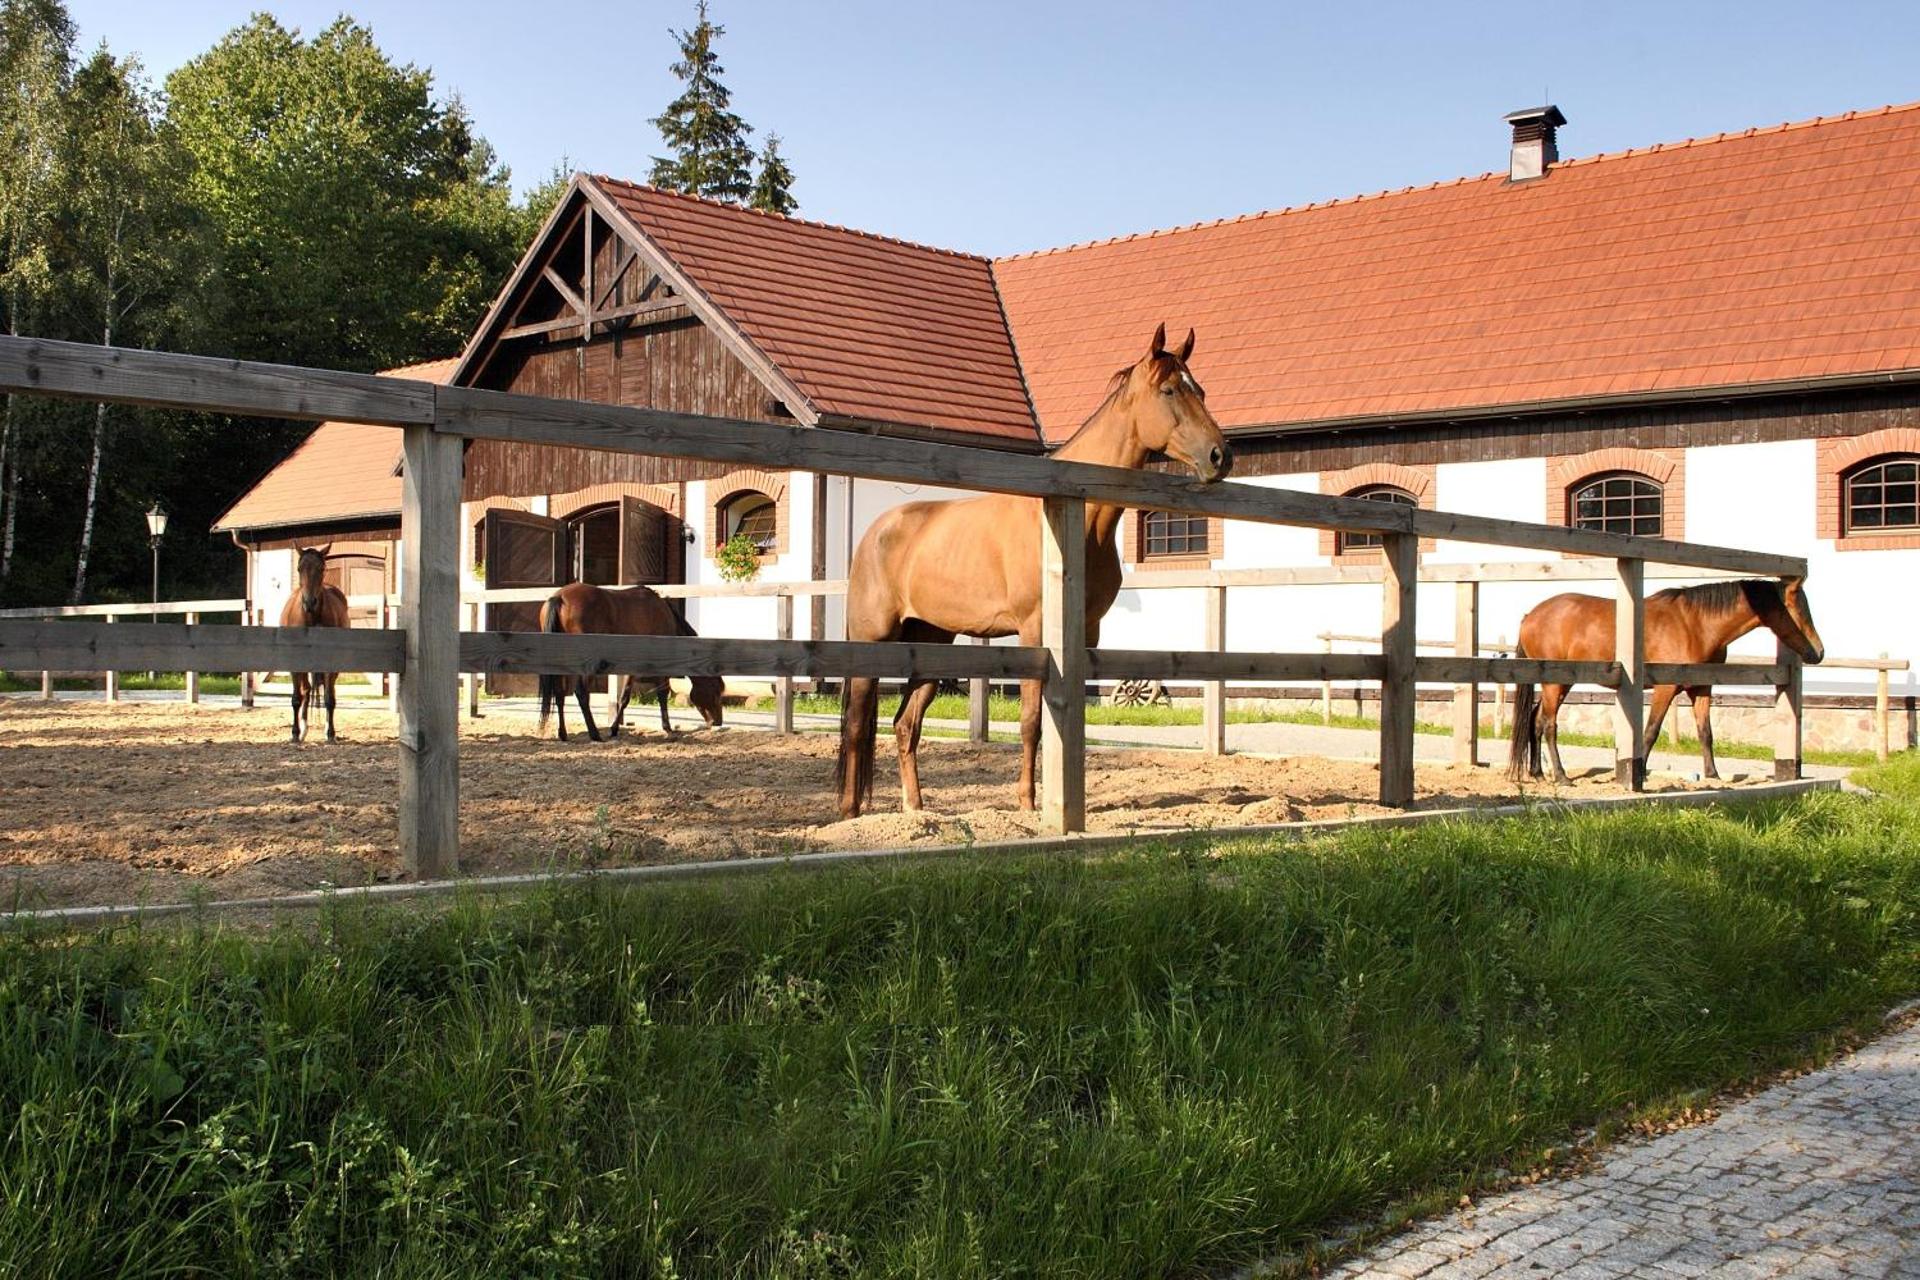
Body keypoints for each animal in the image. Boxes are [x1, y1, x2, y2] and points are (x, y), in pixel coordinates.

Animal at [278, 545, 350, 742]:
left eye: (322, 568)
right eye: (299, 569)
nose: (309, 602)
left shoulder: (330, 662)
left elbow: (329, 699)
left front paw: (331, 733)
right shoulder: (294, 662)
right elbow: (297, 697)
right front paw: (295, 733)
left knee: (326, 691)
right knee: (307, 690)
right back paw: (303, 729)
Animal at [537, 582, 726, 741]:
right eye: (716, 690)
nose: (718, 721)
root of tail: (560, 597)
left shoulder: (631, 668)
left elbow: (624, 698)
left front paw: (614, 729)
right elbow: (662, 694)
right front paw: (668, 729)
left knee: (559, 694)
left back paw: (563, 734)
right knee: (581, 693)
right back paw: (594, 734)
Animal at [836, 323, 1232, 819]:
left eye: (1202, 390)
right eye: (1169, 390)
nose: (1220, 456)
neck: (1072, 517)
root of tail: (875, 532)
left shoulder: (1082, 638)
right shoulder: (1034, 633)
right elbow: (1030, 723)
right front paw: (1028, 803)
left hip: (931, 643)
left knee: (905, 723)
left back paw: (917, 811)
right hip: (873, 641)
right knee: (856, 723)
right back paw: (849, 812)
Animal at [1509, 577, 1824, 784]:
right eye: (1797, 609)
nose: (1818, 652)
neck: (1695, 624)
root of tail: (1530, 616)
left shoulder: (1702, 688)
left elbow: (1705, 732)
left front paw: (1712, 775)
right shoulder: (1665, 688)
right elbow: (1650, 731)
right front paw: (1638, 775)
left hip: (1557, 683)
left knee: (1536, 720)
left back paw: (1538, 773)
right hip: (1555, 683)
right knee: (1549, 725)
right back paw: (1561, 776)